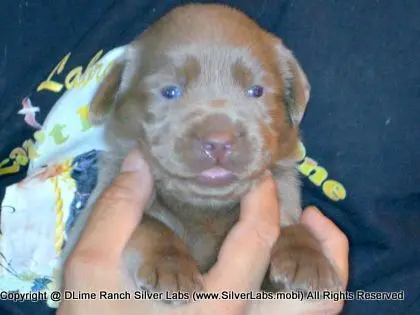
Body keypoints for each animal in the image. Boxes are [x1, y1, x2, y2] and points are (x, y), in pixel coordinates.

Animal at [65, 3, 342, 302]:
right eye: (170, 91)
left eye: (256, 90)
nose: (219, 141)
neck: (205, 210)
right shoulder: (91, 215)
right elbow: (148, 224)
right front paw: (171, 266)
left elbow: (290, 224)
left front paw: (307, 257)